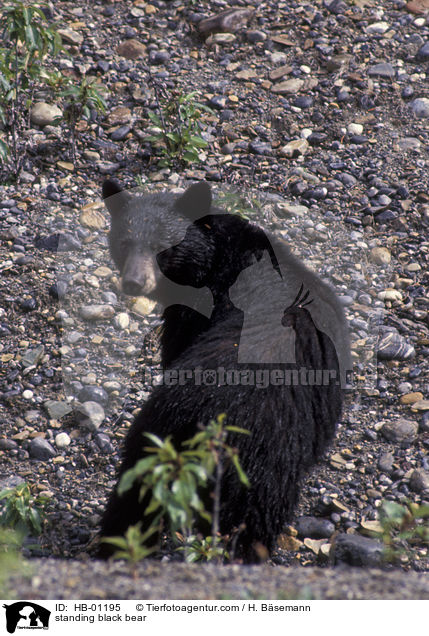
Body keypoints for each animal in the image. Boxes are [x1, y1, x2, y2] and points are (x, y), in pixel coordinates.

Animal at [98, 180, 350, 560]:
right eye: (126, 242)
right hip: (263, 465)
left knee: (136, 496)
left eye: (162, 247)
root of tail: (206, 420)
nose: (133, 283)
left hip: (168, 438)